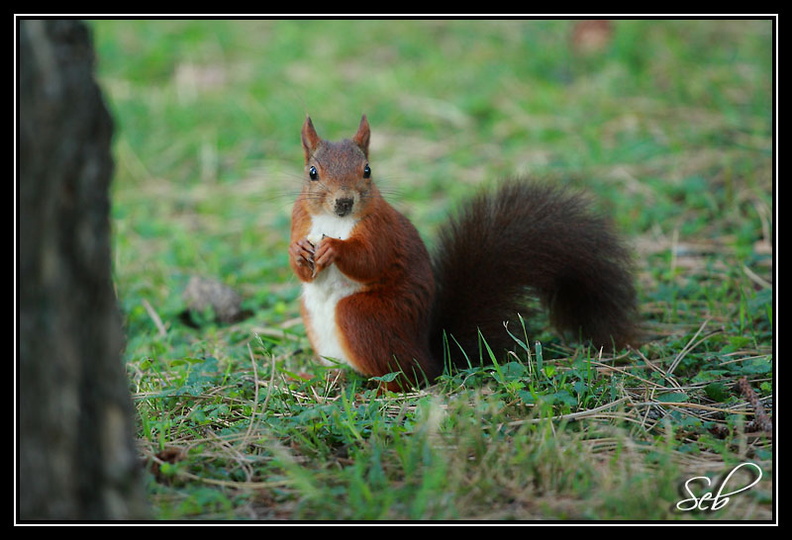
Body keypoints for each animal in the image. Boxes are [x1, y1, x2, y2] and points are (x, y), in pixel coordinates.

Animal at [290, 116, 636, 390]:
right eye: (312, 172)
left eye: (367, 170)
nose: (344, 201)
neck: (333, 221)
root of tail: (431, 356)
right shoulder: (300, 220)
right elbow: (301, 269)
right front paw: (298, 251)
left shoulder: (380, 229)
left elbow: (370, 260)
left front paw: (334, 247)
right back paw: (330, 378)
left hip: (364, 318)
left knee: (408, 378)